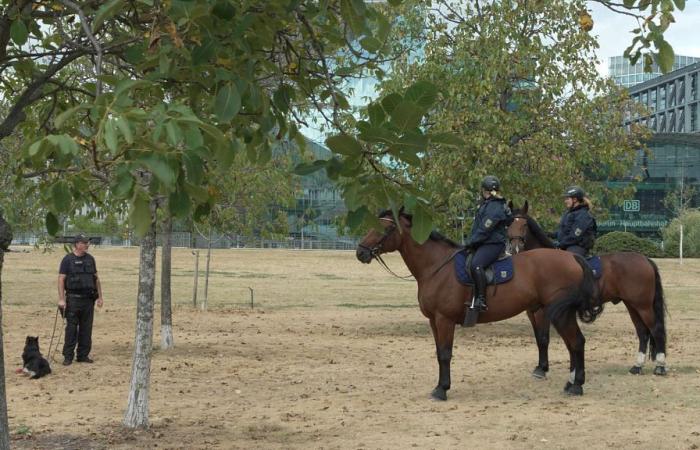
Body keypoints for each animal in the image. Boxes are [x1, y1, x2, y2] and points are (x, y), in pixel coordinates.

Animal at [356, 209, 600, 400]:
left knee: (576, 342)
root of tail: (572, 258)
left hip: (560, 313)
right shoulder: (434, 321)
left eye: (384, 228)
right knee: (572, 343)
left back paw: (577, 385)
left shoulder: (444, 320)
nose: (360, 252)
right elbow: (438, 352)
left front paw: (442, 390)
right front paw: (439, 386)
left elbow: (445, 353)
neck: (437, 267)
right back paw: (571, 382)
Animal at [504, 200, 668, 376]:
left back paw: (660, 366)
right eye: (508, 224)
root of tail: (645, 259)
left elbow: (543, 338)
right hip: (632, 305)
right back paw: (637, 366)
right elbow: (538, 338)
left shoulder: (543, 312)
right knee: (643, 332)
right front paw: (543, 366)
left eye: (524, 224)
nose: (515, 248)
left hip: (643, 305)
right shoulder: (531, 312)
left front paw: (542, 368)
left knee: (656, 330)